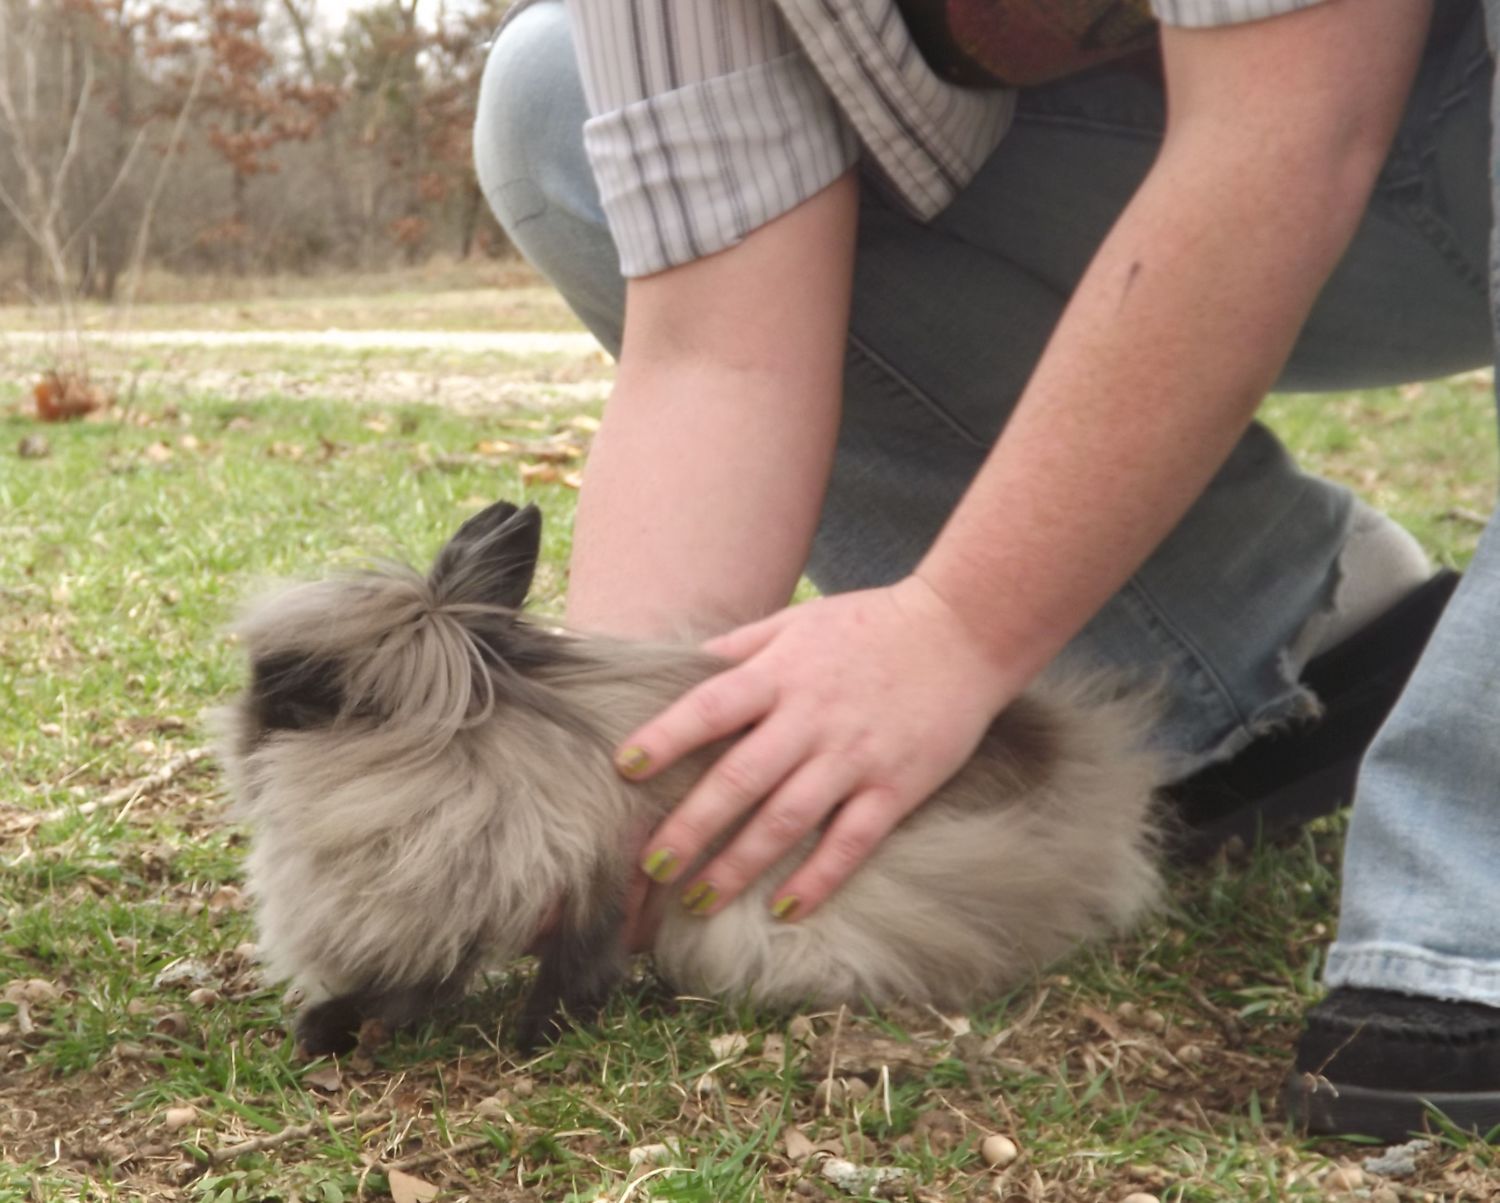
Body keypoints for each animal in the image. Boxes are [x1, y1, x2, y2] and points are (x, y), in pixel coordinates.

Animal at [216, 499, 1162, 1054]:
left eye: (323, 693)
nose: (244, 728)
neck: (478, 751)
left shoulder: (589, 886)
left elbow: (548, 973)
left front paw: (530, 1038)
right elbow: (418, 986)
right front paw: (326, 1027)